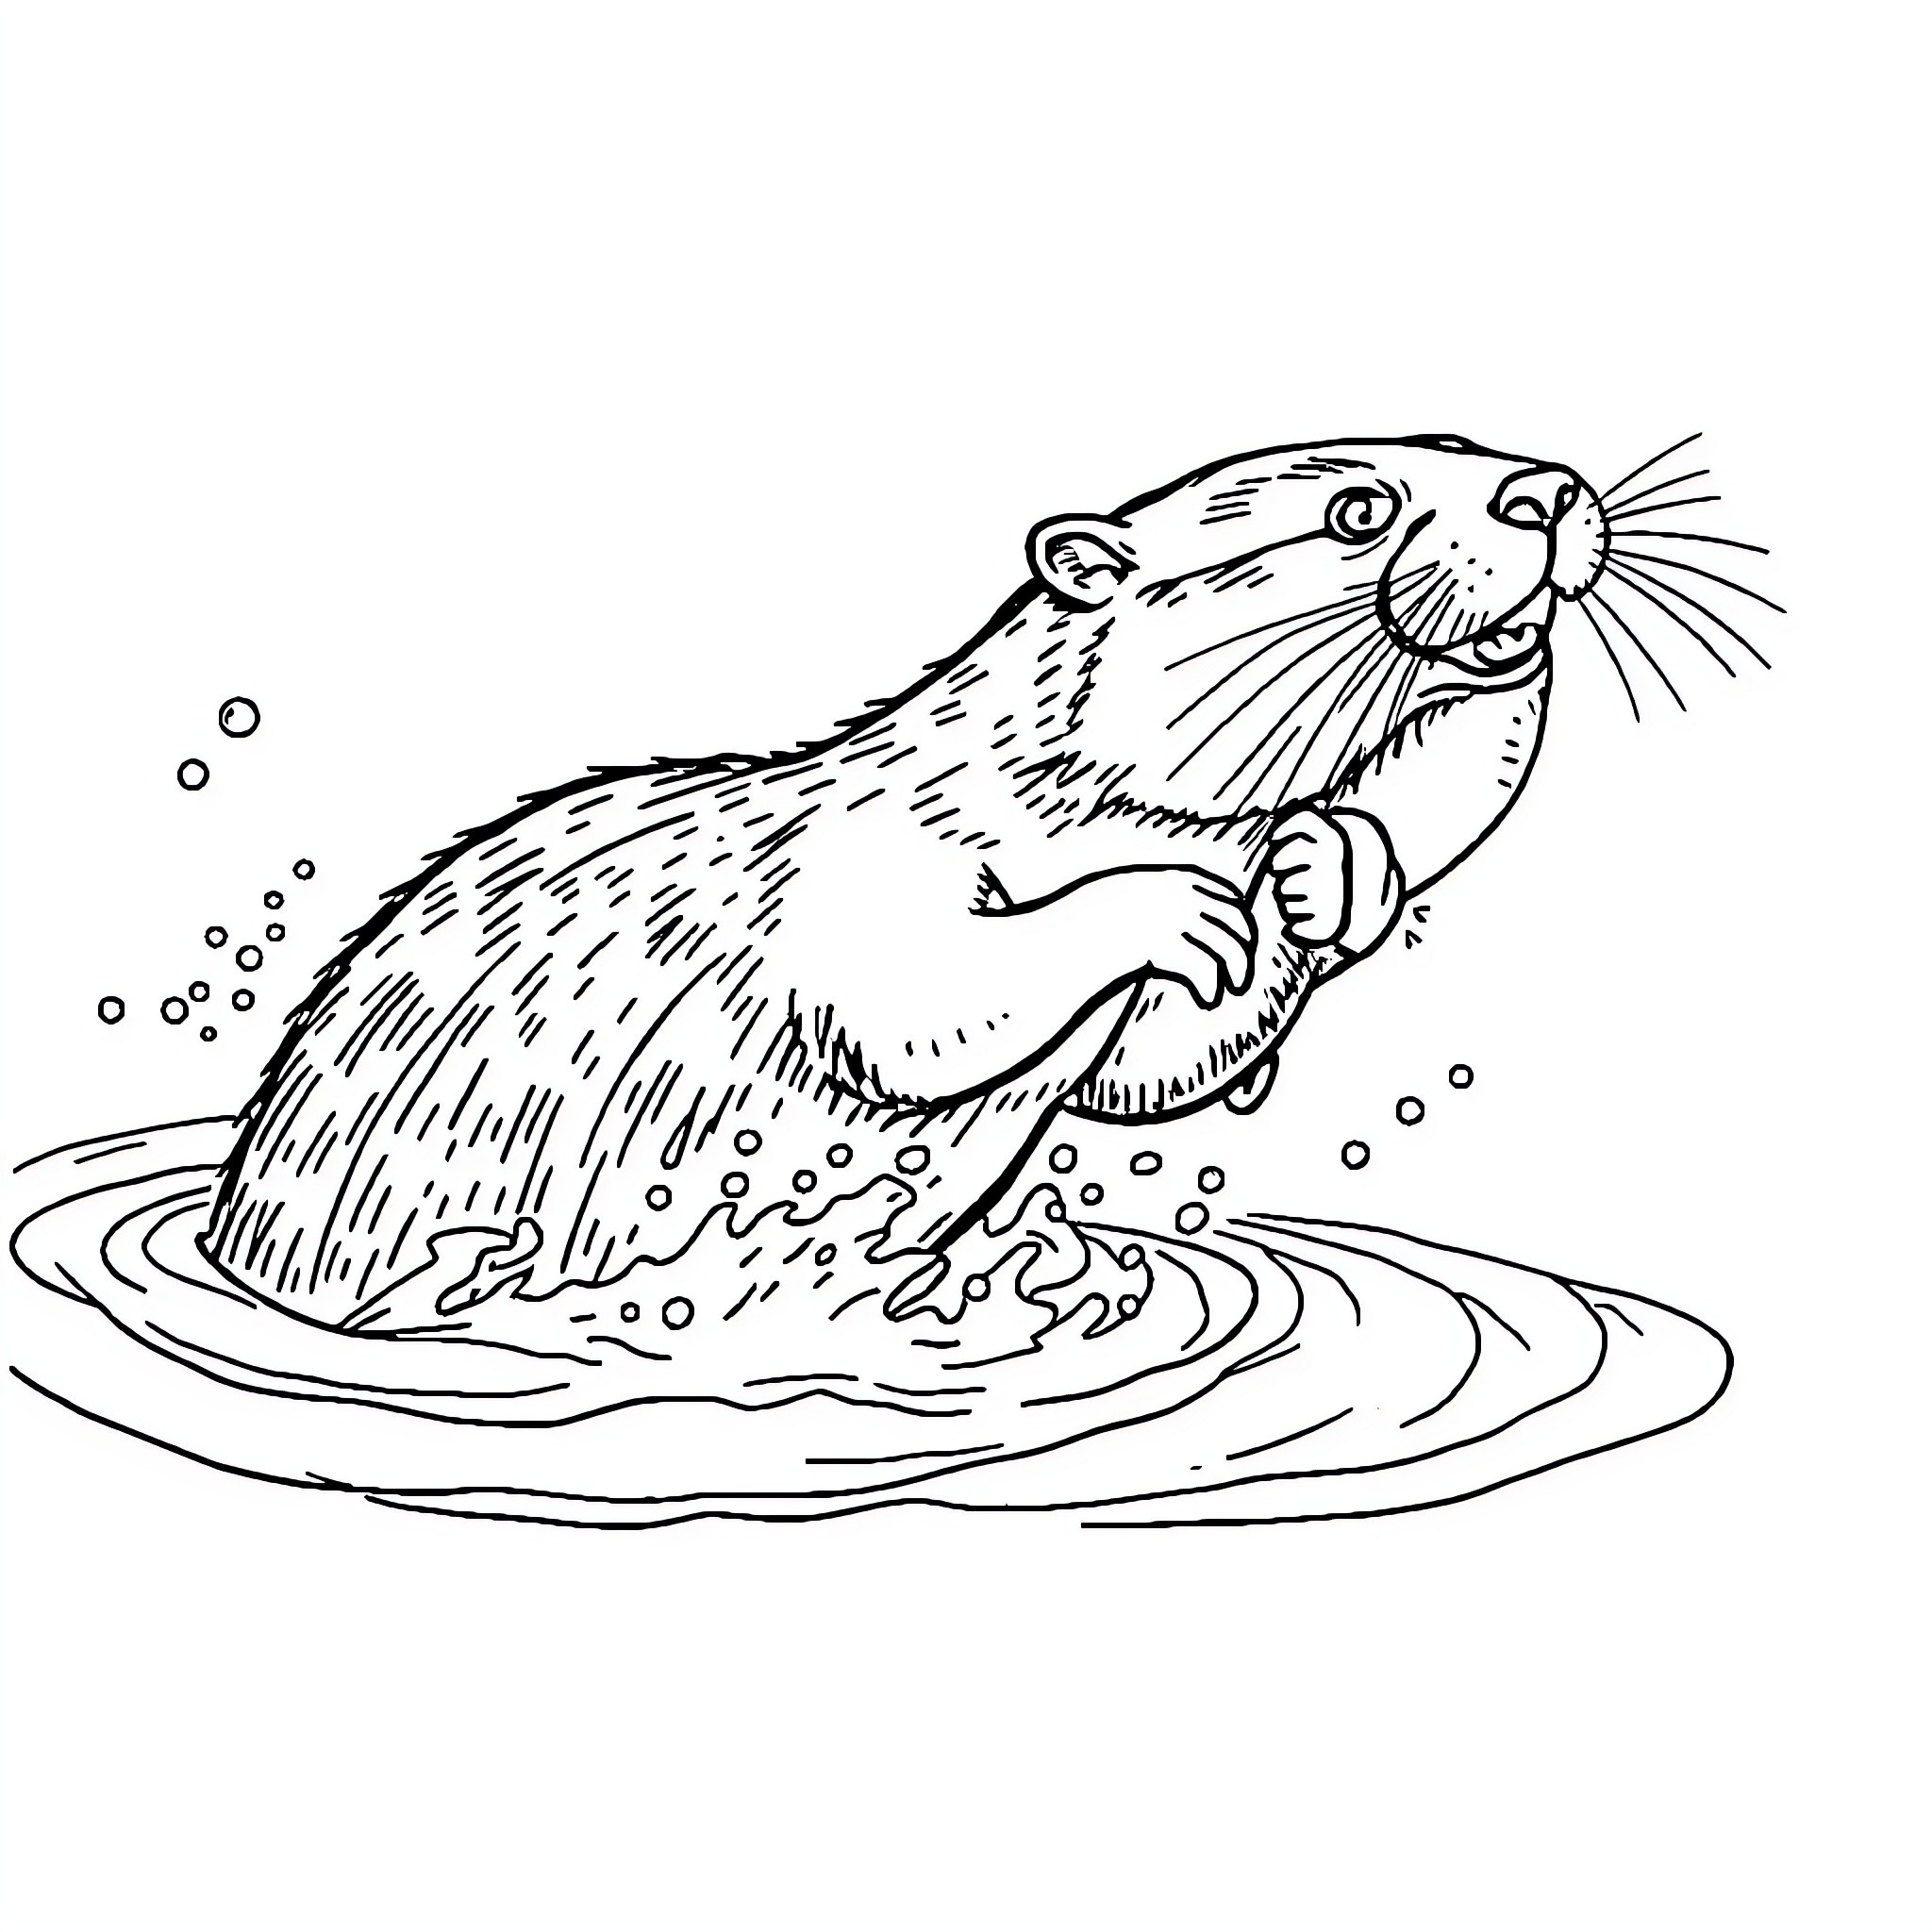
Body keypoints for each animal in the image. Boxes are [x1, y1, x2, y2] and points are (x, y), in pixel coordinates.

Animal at [202, 435, 1607, 1340]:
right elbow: (919, 1009)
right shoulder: (872, 859)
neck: (1043, 779)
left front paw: (1329, 870)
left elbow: (1148, 1069)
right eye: (1361, 510)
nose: (1544, 494)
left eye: (1460, 441)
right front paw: (1172, 907)